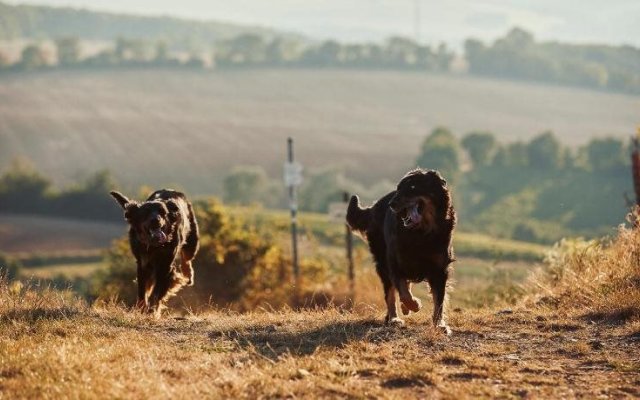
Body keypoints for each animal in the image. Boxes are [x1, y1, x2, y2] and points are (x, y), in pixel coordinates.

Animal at [110, 188, 199, 316]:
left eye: (163, 213)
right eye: (146, 212)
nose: (155, 220)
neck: (154, 246)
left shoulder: (165, 265)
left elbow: (157, 292)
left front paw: (152, 310)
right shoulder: (143, 264)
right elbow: (142, 291)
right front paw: (141, 309)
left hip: (192, 239)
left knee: (187, 259)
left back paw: (188, 275)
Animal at [344, 169, 456, 334]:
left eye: (413, 187)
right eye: (399, 188)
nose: (392, 204)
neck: (421, 233)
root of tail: (375, 206)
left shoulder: (440, 269)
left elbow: (439, 300)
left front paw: (439, 325)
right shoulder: (395, 263)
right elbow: (403, 292)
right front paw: (414, 304)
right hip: (382, 262)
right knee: (390, 293)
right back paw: (394, 318)